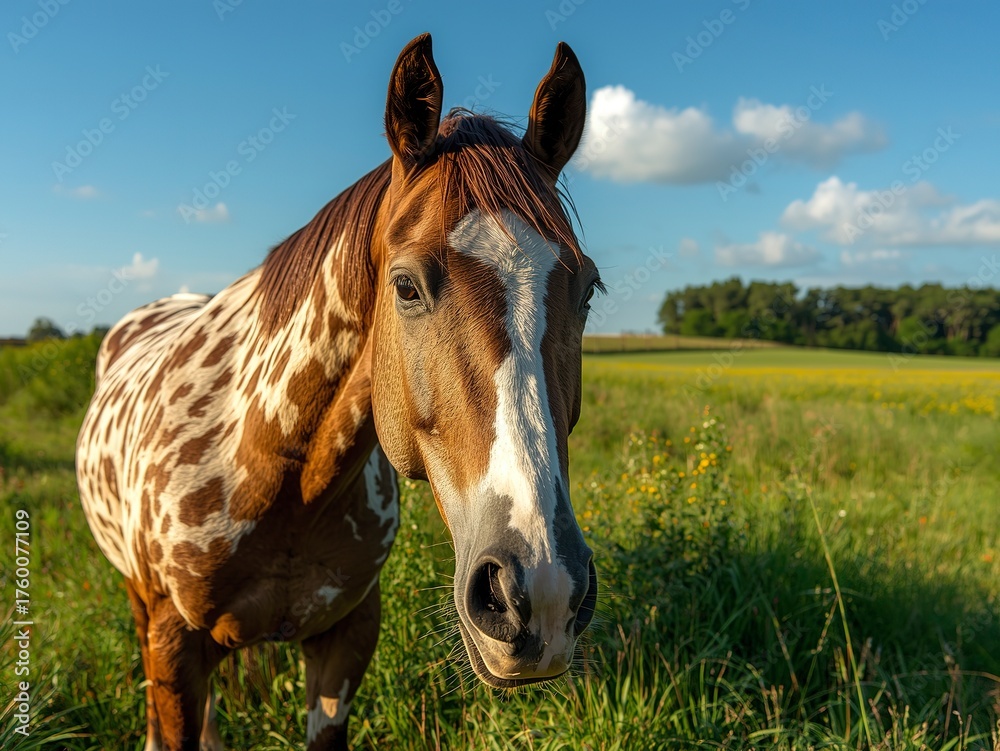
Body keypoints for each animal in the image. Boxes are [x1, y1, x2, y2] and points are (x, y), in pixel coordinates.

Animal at [76, 33, 600, 750]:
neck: (276, 472)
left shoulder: (347, 635)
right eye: (405, 285)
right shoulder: (173, 645)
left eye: (588, 290)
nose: (541, 590)